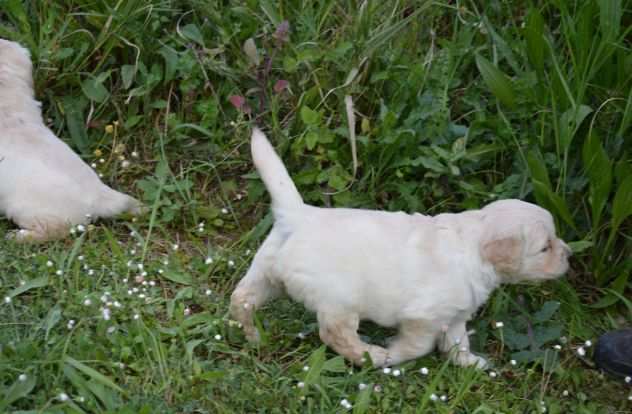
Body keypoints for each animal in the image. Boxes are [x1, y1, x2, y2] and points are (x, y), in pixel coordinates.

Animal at [232, 128, 572, 368]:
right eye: (545, 247)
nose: (569, 253)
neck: (474, 246)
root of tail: (299, 215)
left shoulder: (455, 315)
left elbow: (457, 341)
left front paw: (469, 363)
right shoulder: (422, 316)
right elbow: (419, 345)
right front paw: (395, 354)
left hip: (266, 271)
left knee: (242, 299)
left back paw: (253, 336)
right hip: (339, 298)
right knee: (335, 333)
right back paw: (370, 355)